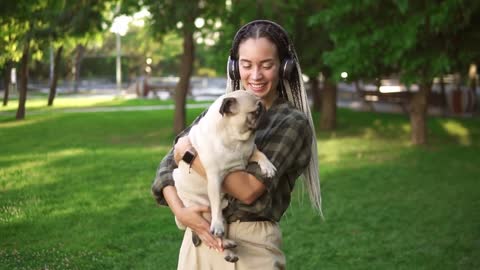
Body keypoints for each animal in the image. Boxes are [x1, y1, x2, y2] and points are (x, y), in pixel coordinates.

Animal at [174, 89, 276, 262]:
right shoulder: (214, 177)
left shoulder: (250, 152)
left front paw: (268, 167)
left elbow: (260, 154)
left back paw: (229, 250)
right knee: (213, 235)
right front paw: (217, 226)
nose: (266, 111)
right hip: (204, 212)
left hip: (225, 213)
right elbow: (215, 205)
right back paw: (226, 244)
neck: (235, 138)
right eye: (256, 111)